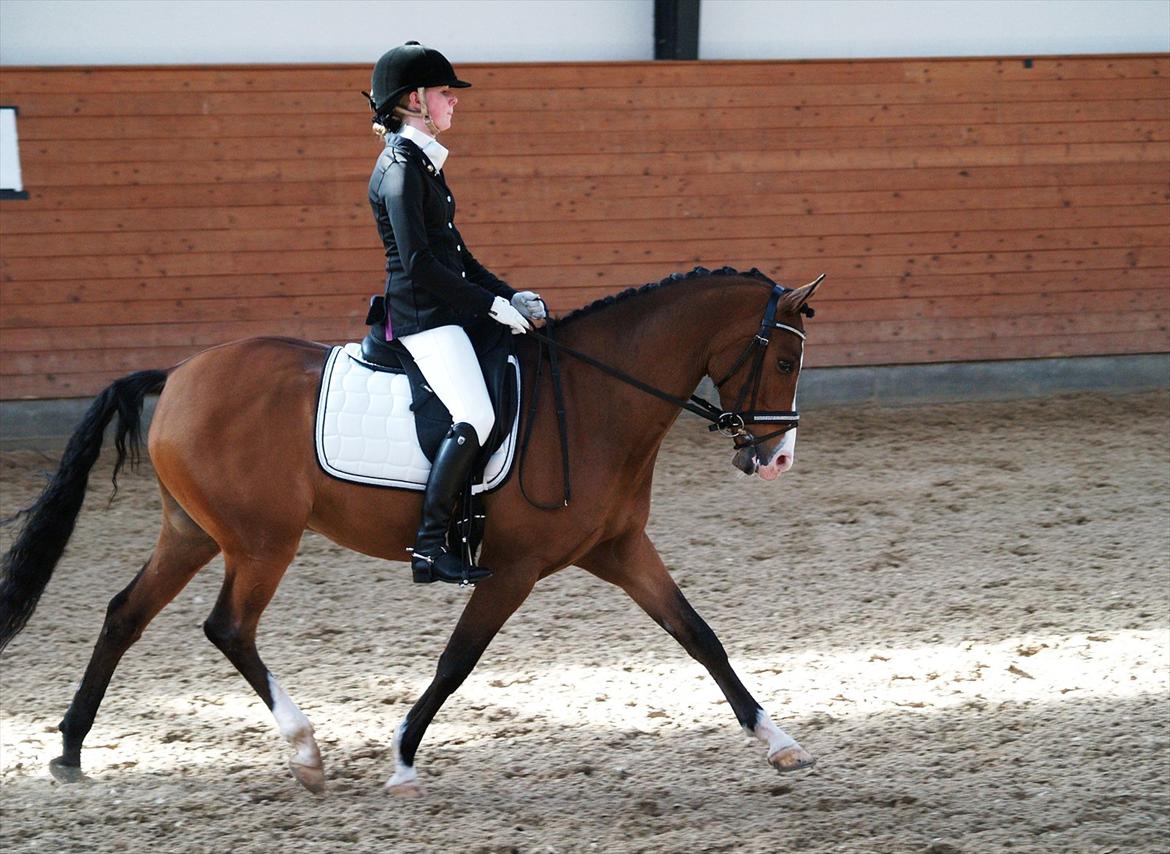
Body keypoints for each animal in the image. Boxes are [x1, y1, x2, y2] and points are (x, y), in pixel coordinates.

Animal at [0, 266, 822, 796]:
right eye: (784, 358)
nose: (776, 458)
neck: (594, 400)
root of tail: (175, 376)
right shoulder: (514, 569)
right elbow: (456, 662)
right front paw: (400, 758)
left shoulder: (619, 550)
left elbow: (699, 635)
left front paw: (778, 741)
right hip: (262, 542)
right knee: (228, 628)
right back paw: (305, 753)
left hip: (194, 534)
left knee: (125, 614)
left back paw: (69, 750)